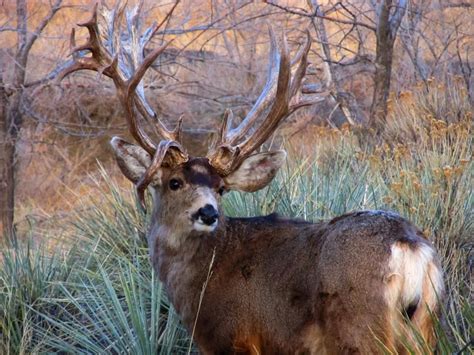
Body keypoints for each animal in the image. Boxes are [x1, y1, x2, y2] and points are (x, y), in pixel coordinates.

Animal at [60, 3, 444, 355]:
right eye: (175, 182)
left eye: (220, 188)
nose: (208, 213)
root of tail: (409, 245)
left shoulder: (233, 338)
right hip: (423, 324)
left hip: (360, 325)